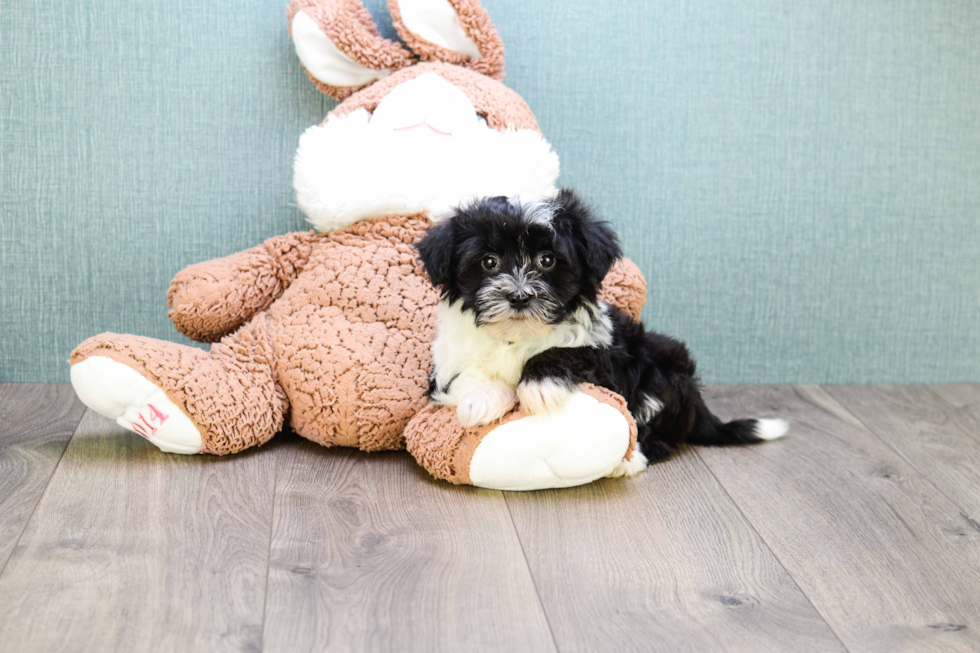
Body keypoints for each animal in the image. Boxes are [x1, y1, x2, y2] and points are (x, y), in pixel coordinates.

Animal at [414, 188, 788, 474]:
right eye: (489, 262)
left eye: (547, 260)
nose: (519, 297)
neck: (517, 336)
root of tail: (696, 403)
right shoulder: (445, 363)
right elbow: (462, 378)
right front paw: (482, 399)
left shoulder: (605, 353)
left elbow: (569, 353)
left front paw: (539, 386)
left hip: (662, 370)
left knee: (652, 429)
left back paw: (631, 460)